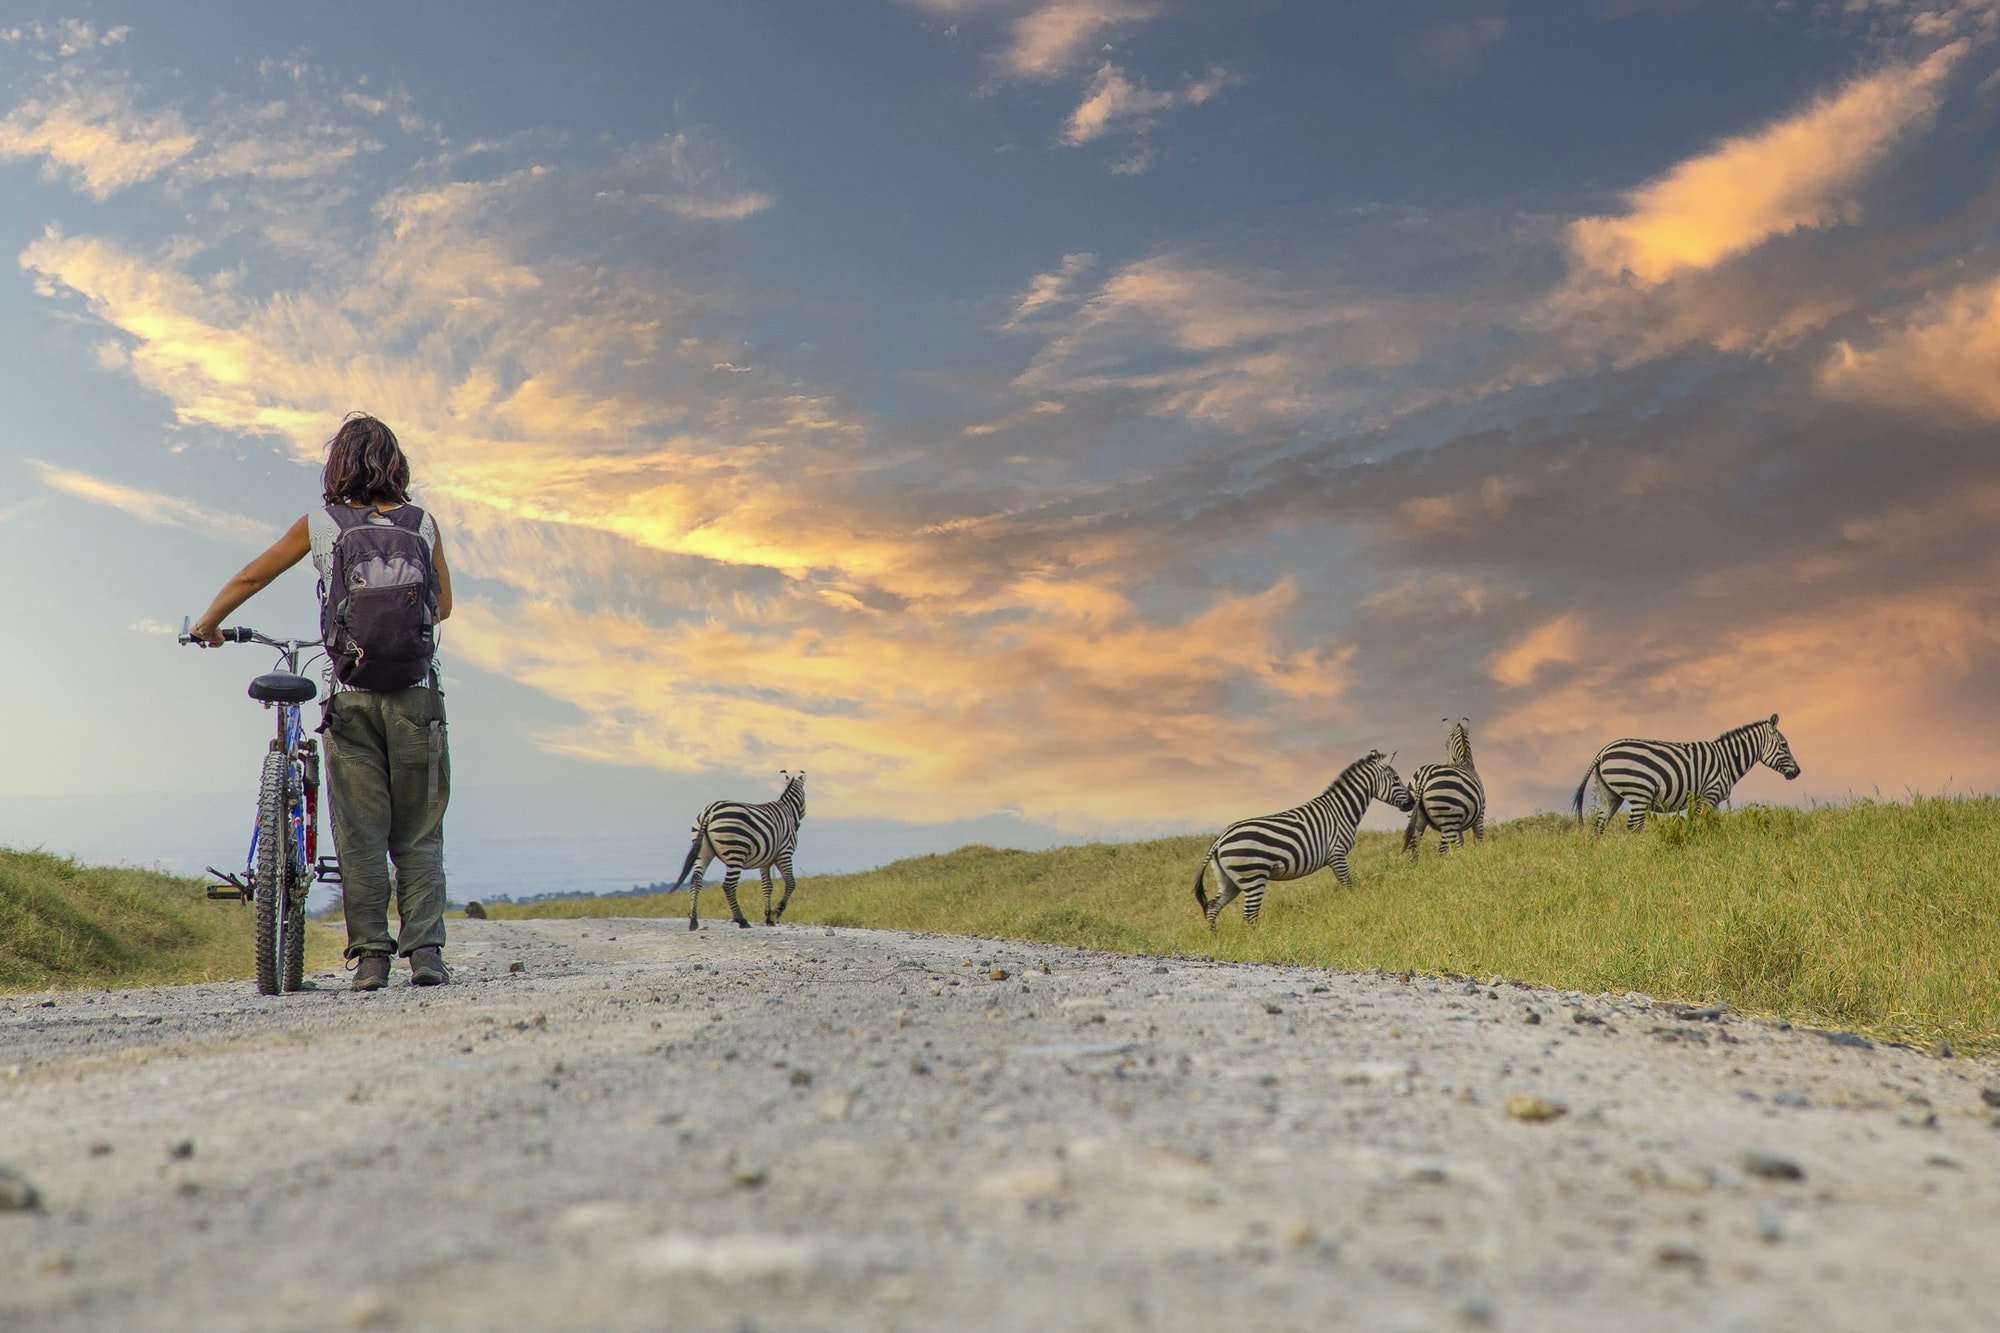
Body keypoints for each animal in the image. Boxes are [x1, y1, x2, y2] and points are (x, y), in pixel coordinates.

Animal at [669, 771, 807, 930]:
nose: (798, 825)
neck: (788, 810)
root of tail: (710, 811)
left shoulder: (765, 860)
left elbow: (767, 886)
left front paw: (768, 918)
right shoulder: (785, 853)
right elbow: (791, 883)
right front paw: (776, 913)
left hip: (703, 851)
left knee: (696, 880)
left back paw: (693, 920)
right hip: (735, 851)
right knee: (728, 885)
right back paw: (741, 920)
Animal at [1194, 750, 1415, 932]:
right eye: (1396, 778)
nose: (1412, 803)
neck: (1341, 810)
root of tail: (1220, 840)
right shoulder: (1337, 854)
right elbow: (1349, 886)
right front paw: (1355, 907)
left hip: (1230, 881)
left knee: (1212, 908)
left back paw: (1216, 939)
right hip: (1253, 877)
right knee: (1249, 915)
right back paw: (1257, 940)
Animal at [1404, 716, 1486, 857]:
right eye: (1446, 745)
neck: (1464, 762)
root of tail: (1424, 776)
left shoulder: (1459, 825)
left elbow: (1460, 844)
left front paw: (1462, 857)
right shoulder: (1479, 816)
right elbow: (1478, 840)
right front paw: (1476, 857)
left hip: (1418, 818)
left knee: (1413, 848)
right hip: (1448, 819)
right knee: (1442, 850)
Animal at [1572, 714, 1799, 834]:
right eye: (1784, 745)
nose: (1798, 772)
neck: (1727, 759)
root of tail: (1603, 751)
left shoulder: (1713, 800)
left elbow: (1711, 825)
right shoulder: (1709, 794)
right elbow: (1698, 824)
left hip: (1609, 794)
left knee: (1599, 826)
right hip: (1639, 792)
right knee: (1634, 826)